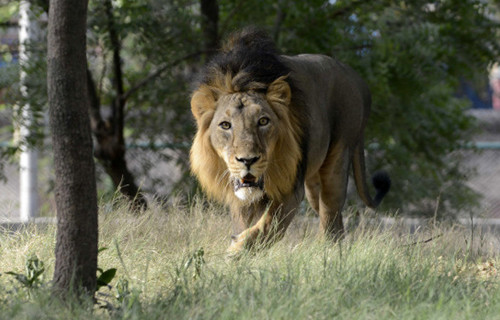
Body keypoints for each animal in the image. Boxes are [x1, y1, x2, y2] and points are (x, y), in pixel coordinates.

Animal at [189, 30, 388, 255]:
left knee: (330, 214)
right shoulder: (240, 196)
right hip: (313, 183)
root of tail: (358, 80)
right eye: (225, 125)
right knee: (332, 217)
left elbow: (268, 225)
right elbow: (244, 223)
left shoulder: (291, 188)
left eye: (263, 121)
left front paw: (237, 250)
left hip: (338, 157)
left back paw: (326, 252)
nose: (247, 160)